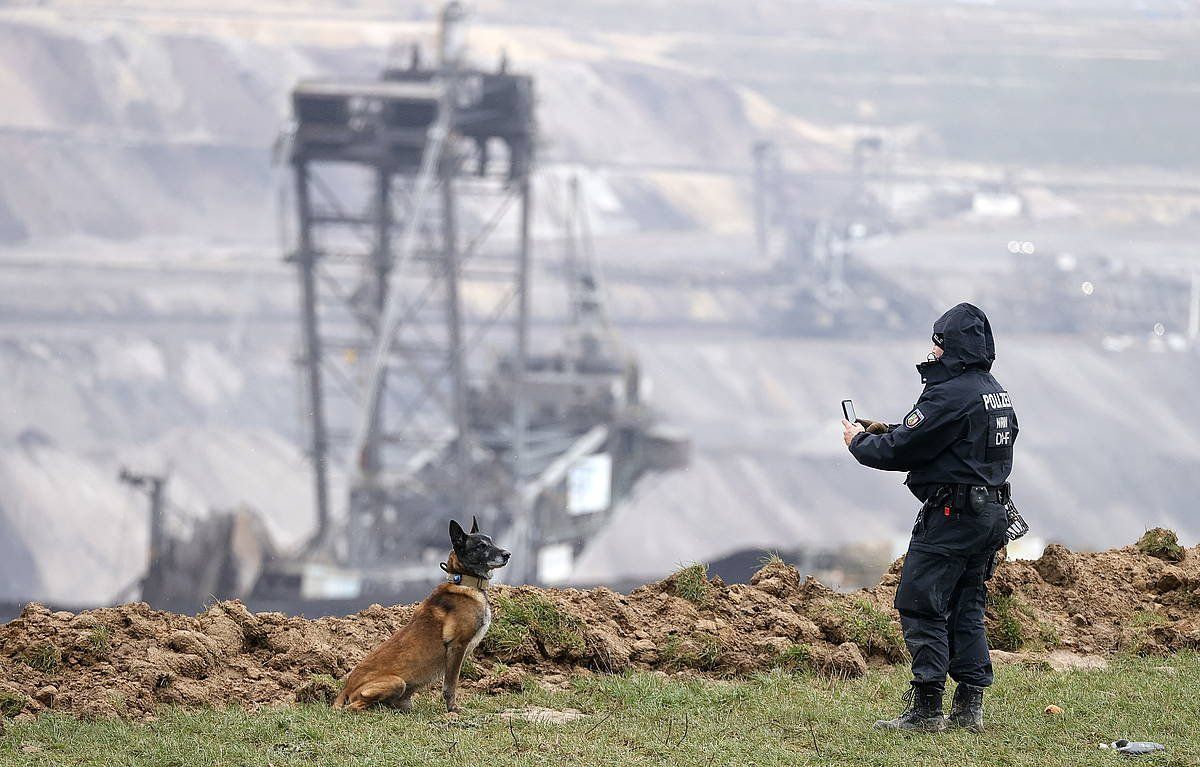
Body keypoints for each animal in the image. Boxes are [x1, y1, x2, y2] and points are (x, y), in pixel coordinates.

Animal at [333, 516, 511, 715]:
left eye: (491, 541)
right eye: (481, 546)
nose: (507, 554)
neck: (464, 581)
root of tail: (346, 687)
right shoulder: (457, 646)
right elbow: (450, 685)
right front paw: (452, 709)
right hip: (396, 682)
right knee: (353, 707)